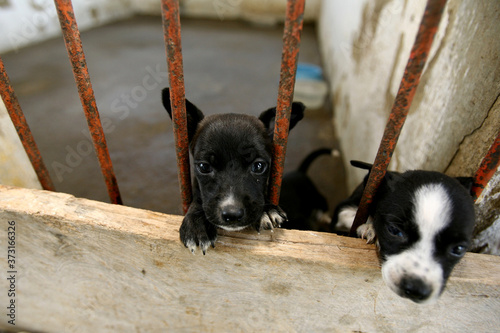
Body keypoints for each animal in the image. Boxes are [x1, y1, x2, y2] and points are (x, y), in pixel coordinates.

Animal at [163, 87, 304, 253]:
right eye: (204, 167)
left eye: (259, 166)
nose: (232, 214)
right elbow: (198, 199)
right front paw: (196, 223)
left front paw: (267, 211)